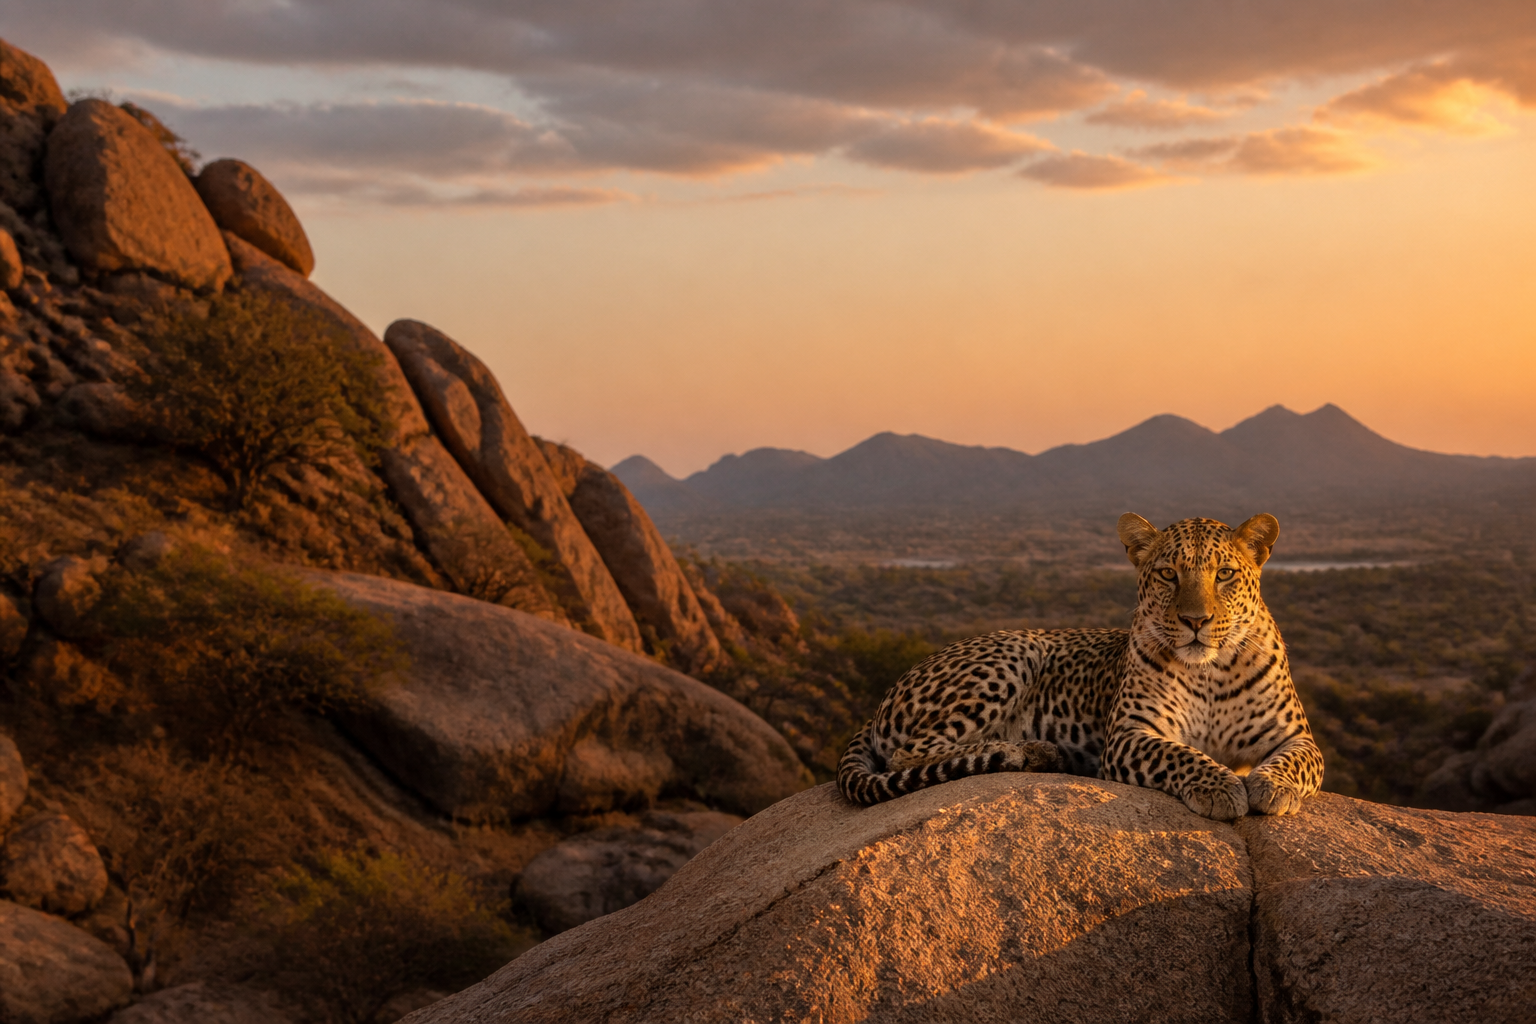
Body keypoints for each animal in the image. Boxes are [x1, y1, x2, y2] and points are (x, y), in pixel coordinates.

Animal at [837, 512, 1324, 820]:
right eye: (1168, 574)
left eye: (1224, 574)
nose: (1195, 621)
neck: (1209, 671)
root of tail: (881, 701)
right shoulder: (1130, 735)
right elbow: (1179, 754)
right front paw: (1219, 788)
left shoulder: (1295, 736)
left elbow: (1297, 762)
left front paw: (1272, 787)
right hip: (1014, 651)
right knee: (909, 753)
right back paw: (1032, 750)